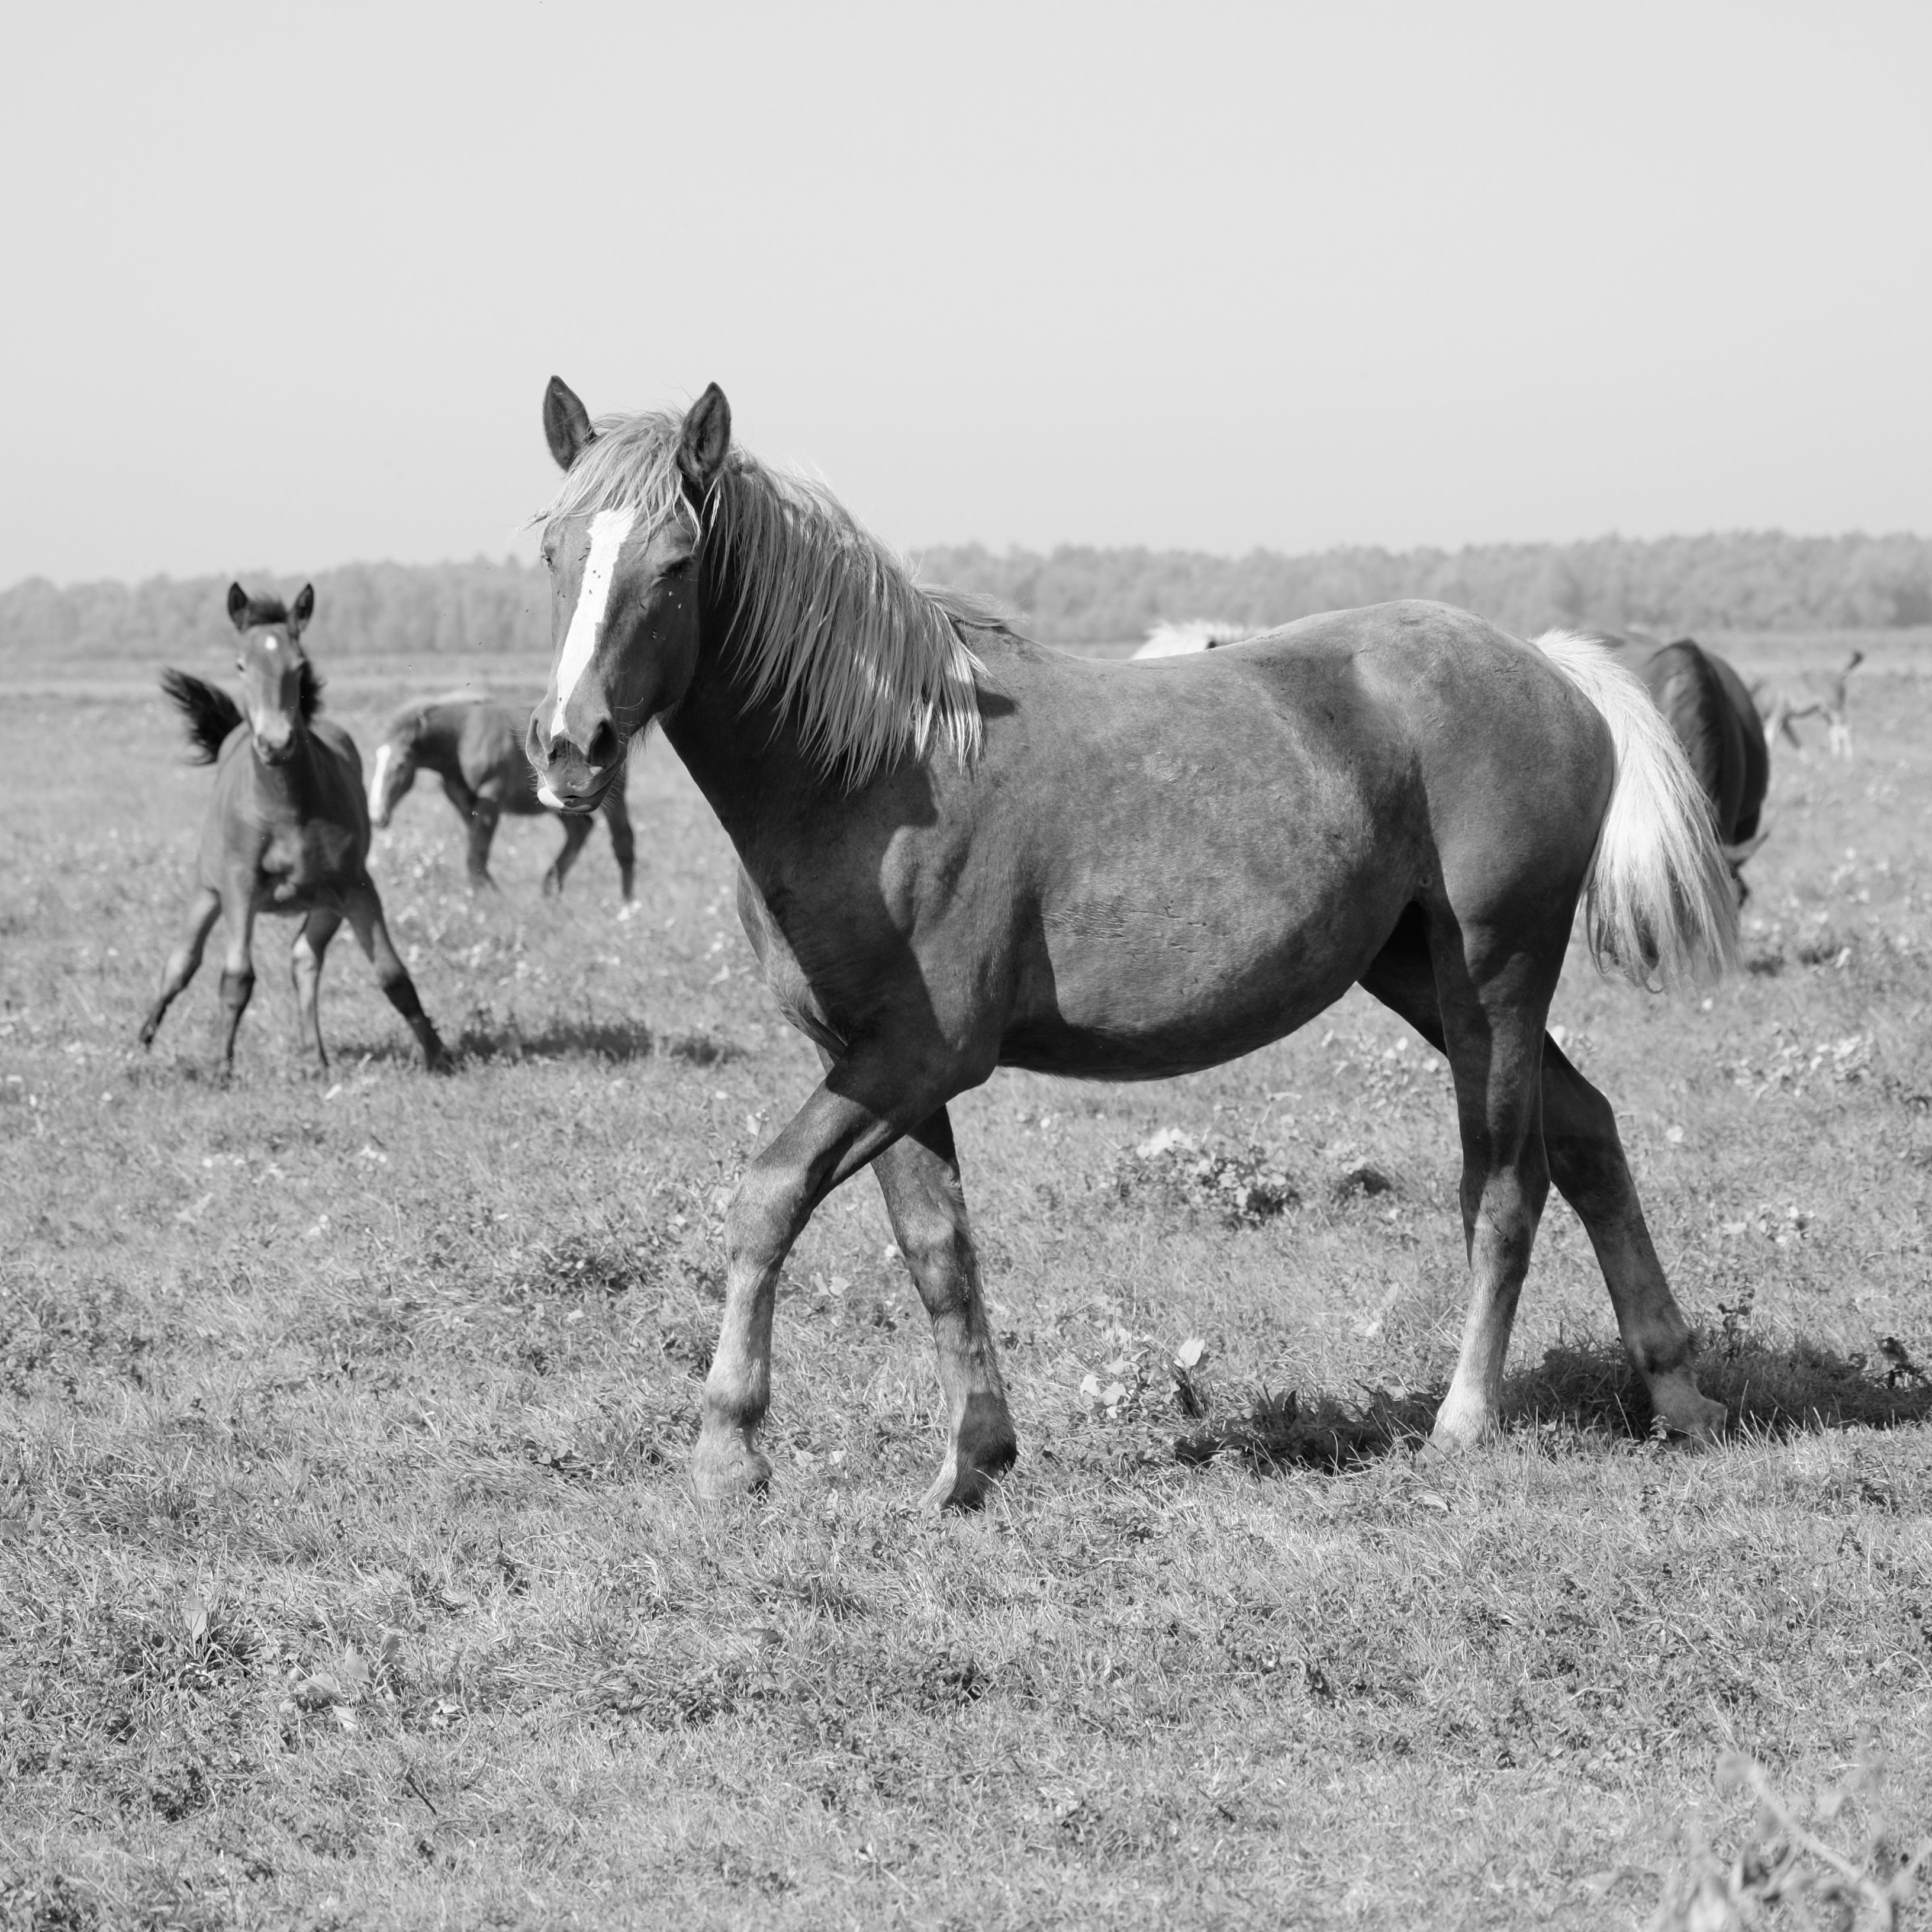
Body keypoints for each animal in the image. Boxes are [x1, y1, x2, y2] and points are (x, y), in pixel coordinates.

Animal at [139, 583, 448, 1074]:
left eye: (299, 665)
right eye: (240, 664)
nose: (276, 743)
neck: (287, 806)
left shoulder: (358, 887)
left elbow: (393, 975)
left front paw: (440, 1056)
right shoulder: (240, 887)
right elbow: (237, 977)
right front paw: (220, 1068)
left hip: (325, 903)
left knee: (304, 957)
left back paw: (314, 1057)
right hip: (208, 892)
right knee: (180, 964)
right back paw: (142, 1041)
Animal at [368, 695, 637, 901]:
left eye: (401, 765)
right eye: (377, 759)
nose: (377, 816)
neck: (463, 738)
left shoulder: (491, 802)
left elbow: (477, 854)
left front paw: (486, 900)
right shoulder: (466, 806)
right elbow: (476, 853)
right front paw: (488, 895)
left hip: (612, 798)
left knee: (622, 840)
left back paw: (627, 905)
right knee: (580, 830)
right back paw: (551, 891)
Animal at [525, 376, 1738, 1511]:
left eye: (678, 562)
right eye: (551, 549)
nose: (570, 747)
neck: (878, 771)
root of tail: (1548, 670)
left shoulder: (919, 1055)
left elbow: (770, 1195)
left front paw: (728, 1447)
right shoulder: (871, 1061)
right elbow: (936, 1248)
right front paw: (971, 1460)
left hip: (1494, 972)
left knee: (1504, 1183)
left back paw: (1465, 1418)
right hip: (1420, 976)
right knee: (1586, 1135)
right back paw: (1677, 1390)